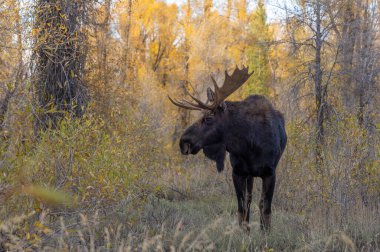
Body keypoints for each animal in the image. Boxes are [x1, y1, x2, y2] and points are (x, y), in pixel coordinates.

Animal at [168, 66, 286, 231]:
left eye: (208, 118)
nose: (183, 142)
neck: (249, 146)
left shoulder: (270, 173)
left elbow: (266, 208)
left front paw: (265, 233)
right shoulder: (237, 172)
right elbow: (242, 208)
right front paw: (244, 232)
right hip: (249, 175)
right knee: (249, 200)